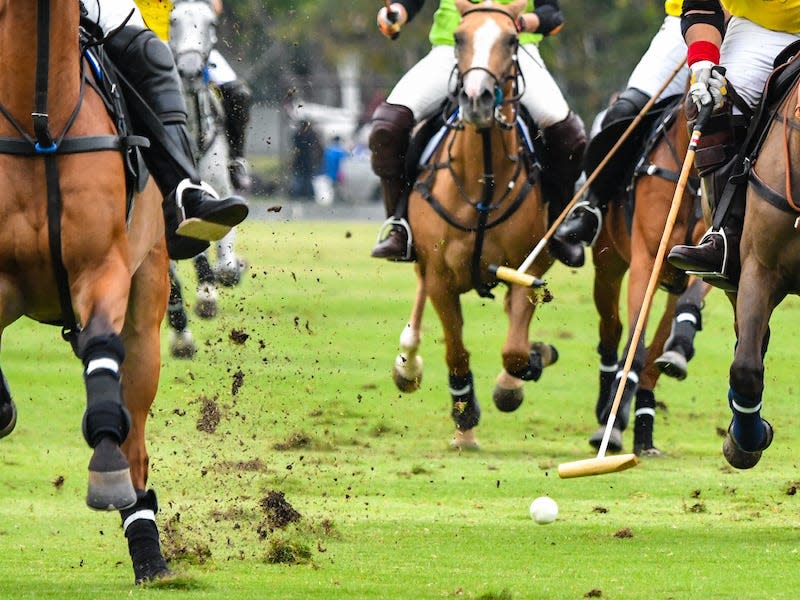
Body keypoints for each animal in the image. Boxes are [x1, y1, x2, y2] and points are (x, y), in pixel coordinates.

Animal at [0, 3, 169, 584]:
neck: (39, 126)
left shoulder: (103, 268)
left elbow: (101, 350)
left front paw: (106, 471)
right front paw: (2, 407)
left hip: (147, 306)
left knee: (136, 438)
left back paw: (148, 549)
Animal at [390, 0, 556, 450]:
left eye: (513, 39)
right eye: (460, 37)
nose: (477, 99)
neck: (484, 181)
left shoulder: (526, 268)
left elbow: (515, 350)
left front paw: (523, 372)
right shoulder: (441, 276)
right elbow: (456, 351)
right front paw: (464, 423)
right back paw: (407, 363)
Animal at [588, 99, 712, 454]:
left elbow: (686, 307)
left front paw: (680, 349)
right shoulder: (645, 260)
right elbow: (635, 345)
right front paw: (612, 426)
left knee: (656, 353)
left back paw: (644, 431)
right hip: (608, 266)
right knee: (613, 330)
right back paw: (605, 409)